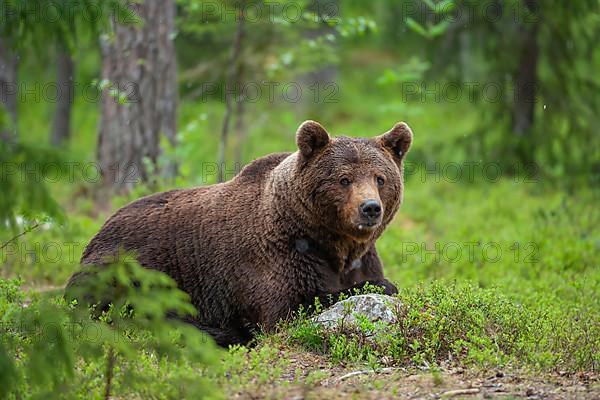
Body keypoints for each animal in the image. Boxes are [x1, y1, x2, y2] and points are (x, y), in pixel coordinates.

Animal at [65, 120, 412, 346]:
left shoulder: (360, 256)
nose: (370, 208)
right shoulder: (274, 259)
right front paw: (383, 284)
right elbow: (291, 308)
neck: (331, 241)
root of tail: (100, 228)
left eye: (380, 178)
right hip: (124, 264)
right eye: (344, 179)